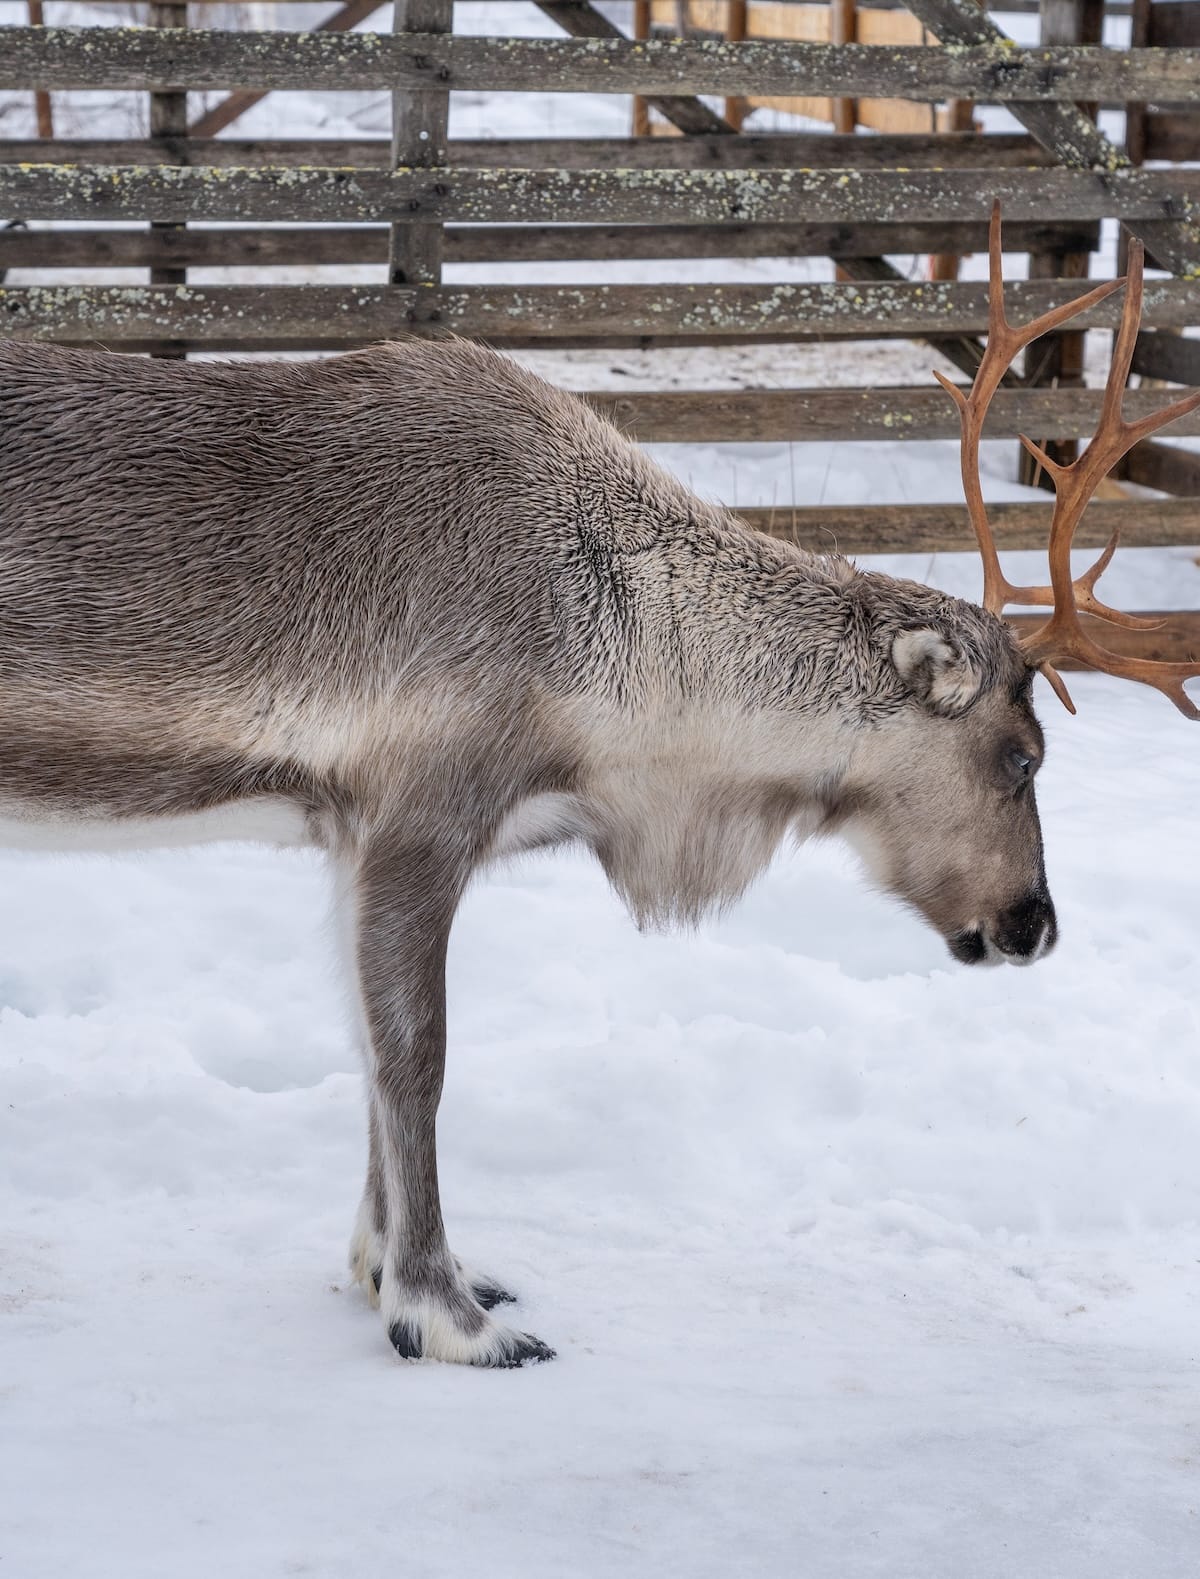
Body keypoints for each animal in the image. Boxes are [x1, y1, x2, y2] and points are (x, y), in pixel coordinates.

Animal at [0, 206, 1196, 1367]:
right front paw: (447, 1316)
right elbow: (415, 1059)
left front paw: (388, 1270)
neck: (618, 668)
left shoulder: (349, 835)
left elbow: (366, 1054)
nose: (1034, 922)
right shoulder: (420, 818)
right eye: (1023, 756)